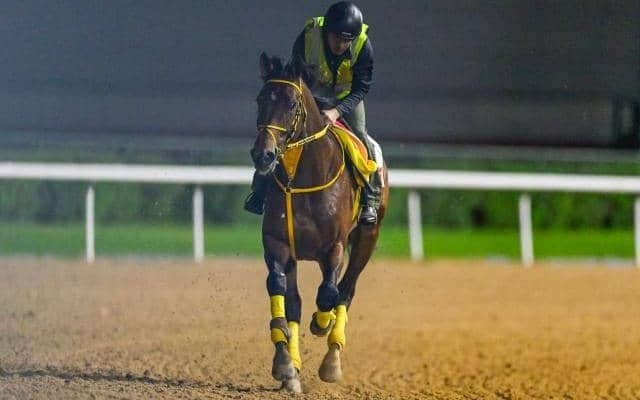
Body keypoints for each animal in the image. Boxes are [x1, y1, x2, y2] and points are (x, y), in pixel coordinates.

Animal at [250, 52, 389, 393]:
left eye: (291, 103)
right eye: (260, 99)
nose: (263, 155)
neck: (303, 178)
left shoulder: (334, 247)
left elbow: (328, 293)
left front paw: (320, 324)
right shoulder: (278, 244)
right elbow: (283, 294)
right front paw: (285, 365)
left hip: (367, 238)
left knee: (346, 291)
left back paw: (332, 359)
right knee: (299, 300)